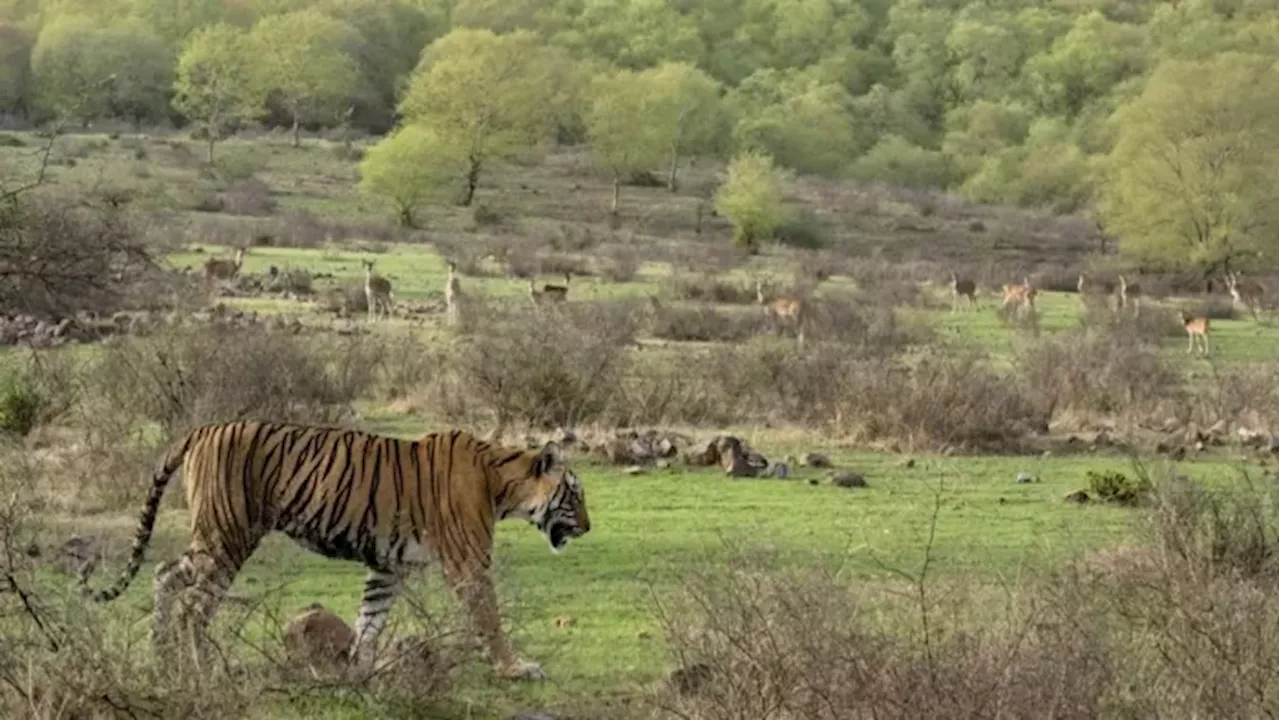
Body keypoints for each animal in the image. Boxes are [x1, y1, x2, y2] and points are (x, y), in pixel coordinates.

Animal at [82, 417, 591, 676]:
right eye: (575, 494)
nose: (588, 528)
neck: (502, 483)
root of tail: (202, 429)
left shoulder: (387, 566)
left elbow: (370, 620)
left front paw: (360, 672)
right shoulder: (469, 563)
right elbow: (490, 619)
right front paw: (515, 667)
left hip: (213, 538)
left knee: (163, 574)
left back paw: (160, 655)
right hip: (226, 535)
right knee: (192, 604)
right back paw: (204, 668)